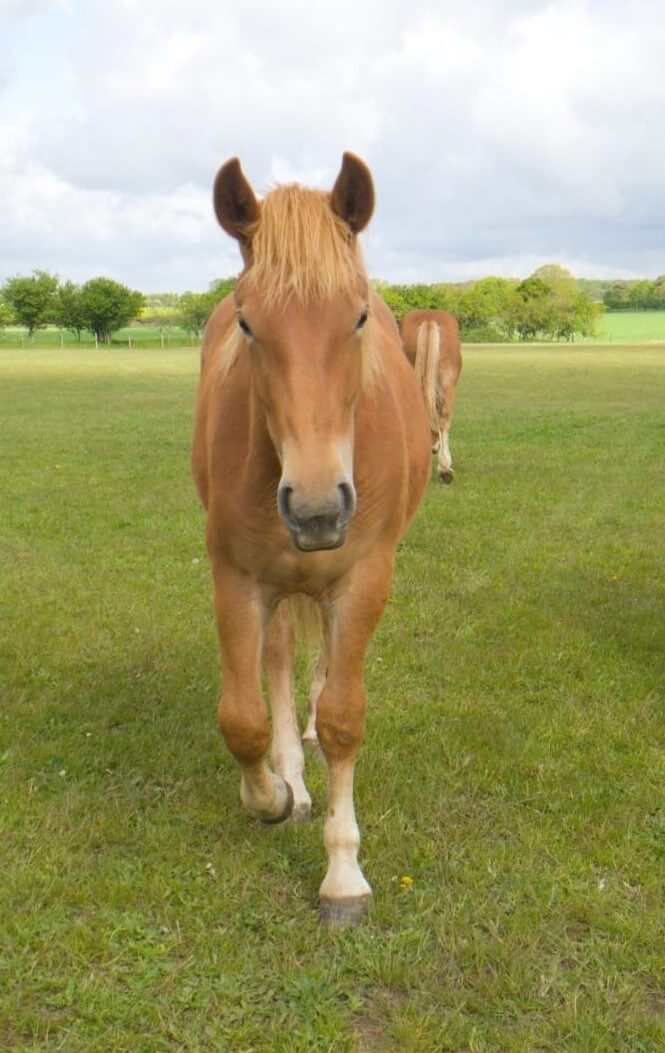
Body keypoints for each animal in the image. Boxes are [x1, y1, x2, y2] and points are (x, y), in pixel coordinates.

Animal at [192, 153, 431, 926]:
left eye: (356, 316)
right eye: (247, 322)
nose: (319, 509)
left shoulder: (363, 580)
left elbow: (344, 718)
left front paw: (343, 874)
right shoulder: (237, 579)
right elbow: (242, 716)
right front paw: (272, 793)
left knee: (324, 672)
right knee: (277, 668)